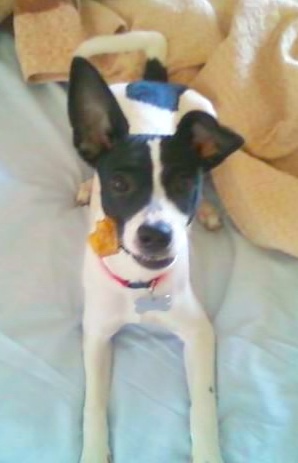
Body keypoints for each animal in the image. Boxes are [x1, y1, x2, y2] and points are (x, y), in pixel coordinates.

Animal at [68, 30, 243, 462]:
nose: (157, 235)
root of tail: (151, 81)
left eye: (183, 184)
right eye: (118, 184)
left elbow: (203, 405)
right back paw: (85, 185)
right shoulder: (96, 334)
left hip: (205, 109)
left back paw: (210, 211)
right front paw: (94, 451)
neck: (139, 284)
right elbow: (93, 403)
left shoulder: (198, 332)